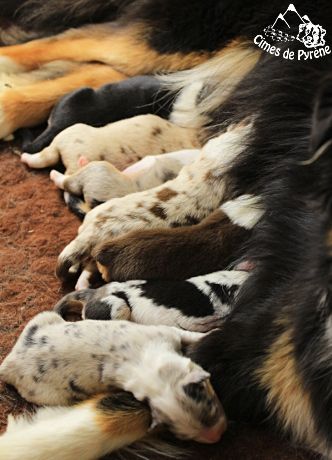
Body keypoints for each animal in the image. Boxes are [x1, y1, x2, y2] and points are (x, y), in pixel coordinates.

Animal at [0, 310, 226, 444]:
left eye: (211, 406)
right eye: (185, 438)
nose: (217, 437)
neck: (151, 373)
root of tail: (8, 364)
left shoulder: (167, 334)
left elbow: (189, 335)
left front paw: (213, 330)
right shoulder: (166, 333)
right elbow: (188, 334)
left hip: (43, 317)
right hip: (54, 396)